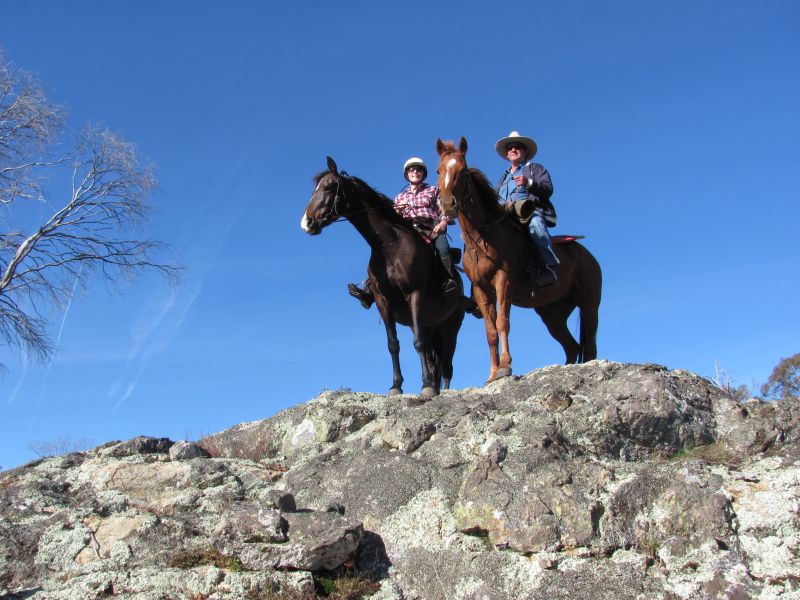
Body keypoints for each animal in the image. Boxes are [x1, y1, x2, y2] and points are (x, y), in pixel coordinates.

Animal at [300, 157, 462, 396]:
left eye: (329, 187)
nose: (307, 223)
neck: (389, 246)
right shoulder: (382, 302)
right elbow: (393, 344)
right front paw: (396, 385)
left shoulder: (415, 294)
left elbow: (418, 343)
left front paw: (425, 385)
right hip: (429, 324)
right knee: (435, 361)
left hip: (449, 327)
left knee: (447, 364)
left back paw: (439, 387)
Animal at [438, 138, 600, 382]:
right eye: (438, 170)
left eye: (463, 170)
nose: (448, 204)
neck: (483, 238)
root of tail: (588, 256)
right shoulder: (481, 290)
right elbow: (490, 332)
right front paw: (492, 374)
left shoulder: (503, 281)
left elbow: (502, 323)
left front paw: (505, 366)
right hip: (552, 315)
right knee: (571, 346)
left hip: (589, 305)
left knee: (589, 345)